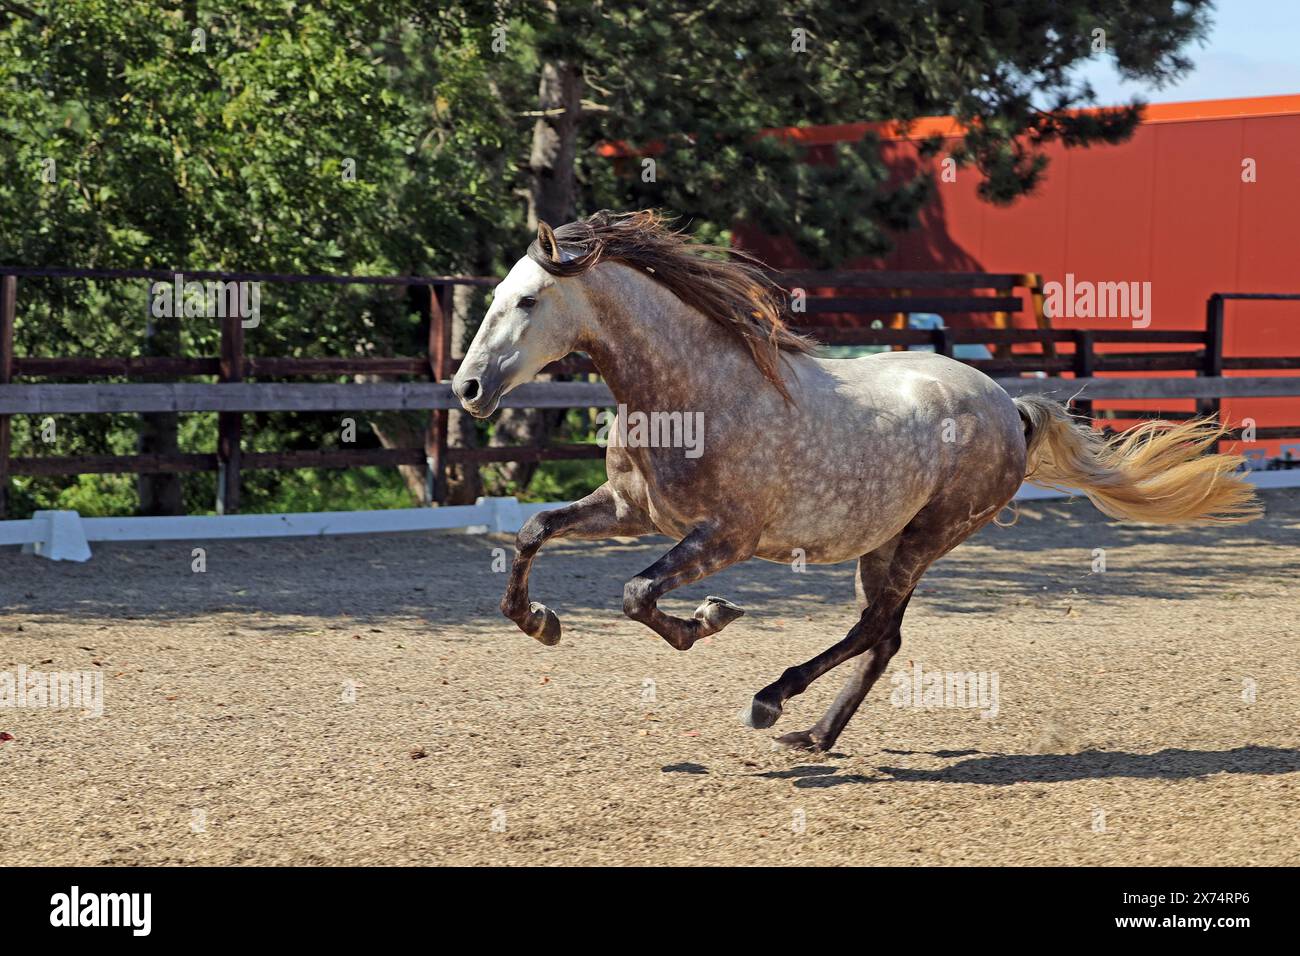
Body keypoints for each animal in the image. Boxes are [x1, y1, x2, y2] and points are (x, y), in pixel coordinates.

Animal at [451, 210, 1259, 752]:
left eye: (527, 301)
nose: (466, 389)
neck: (692, 391)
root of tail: (1011, 407)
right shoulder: (631, 511)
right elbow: (533, 531)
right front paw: (540, 622)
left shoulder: (726, 537)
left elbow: (636, 594)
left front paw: (710, 618)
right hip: (884, 542)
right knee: (886, 636)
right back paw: (815, 735)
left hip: (931, 536)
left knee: (874, 627)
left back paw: (773, 704)